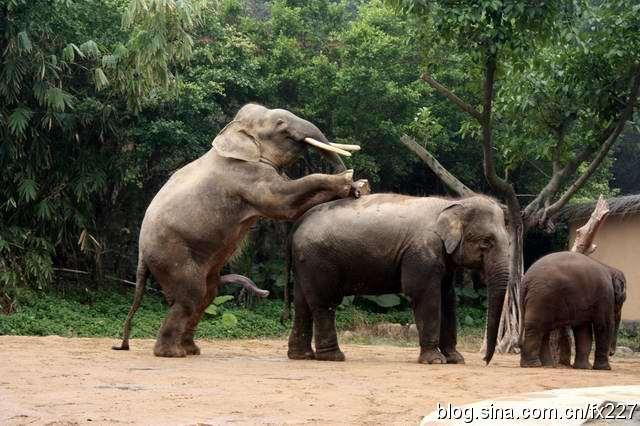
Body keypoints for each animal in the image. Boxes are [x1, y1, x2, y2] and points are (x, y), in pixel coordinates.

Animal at [112, 103, 364, 356]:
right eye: (281, 124)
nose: (356, 189)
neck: (233, 131)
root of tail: (141, 255)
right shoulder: (245, 176)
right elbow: (282, 202)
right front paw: (348, 179)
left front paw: (355, 184)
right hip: (171, 255)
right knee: (191, 296)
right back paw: (172, 353)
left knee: (207, 294)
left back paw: (191, 350)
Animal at [288, 195, 508, 364]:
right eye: (486, 242)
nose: (485, 361)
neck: (451, 204)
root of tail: (299, 221)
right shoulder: (421, 253)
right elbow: (424, 295)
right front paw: (435, 360)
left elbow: (448, 298)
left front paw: (456, 359)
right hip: (318, 259)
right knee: (324, 302)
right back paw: (333, 357)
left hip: (304, 263)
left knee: (302, 304)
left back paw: (302, 356)